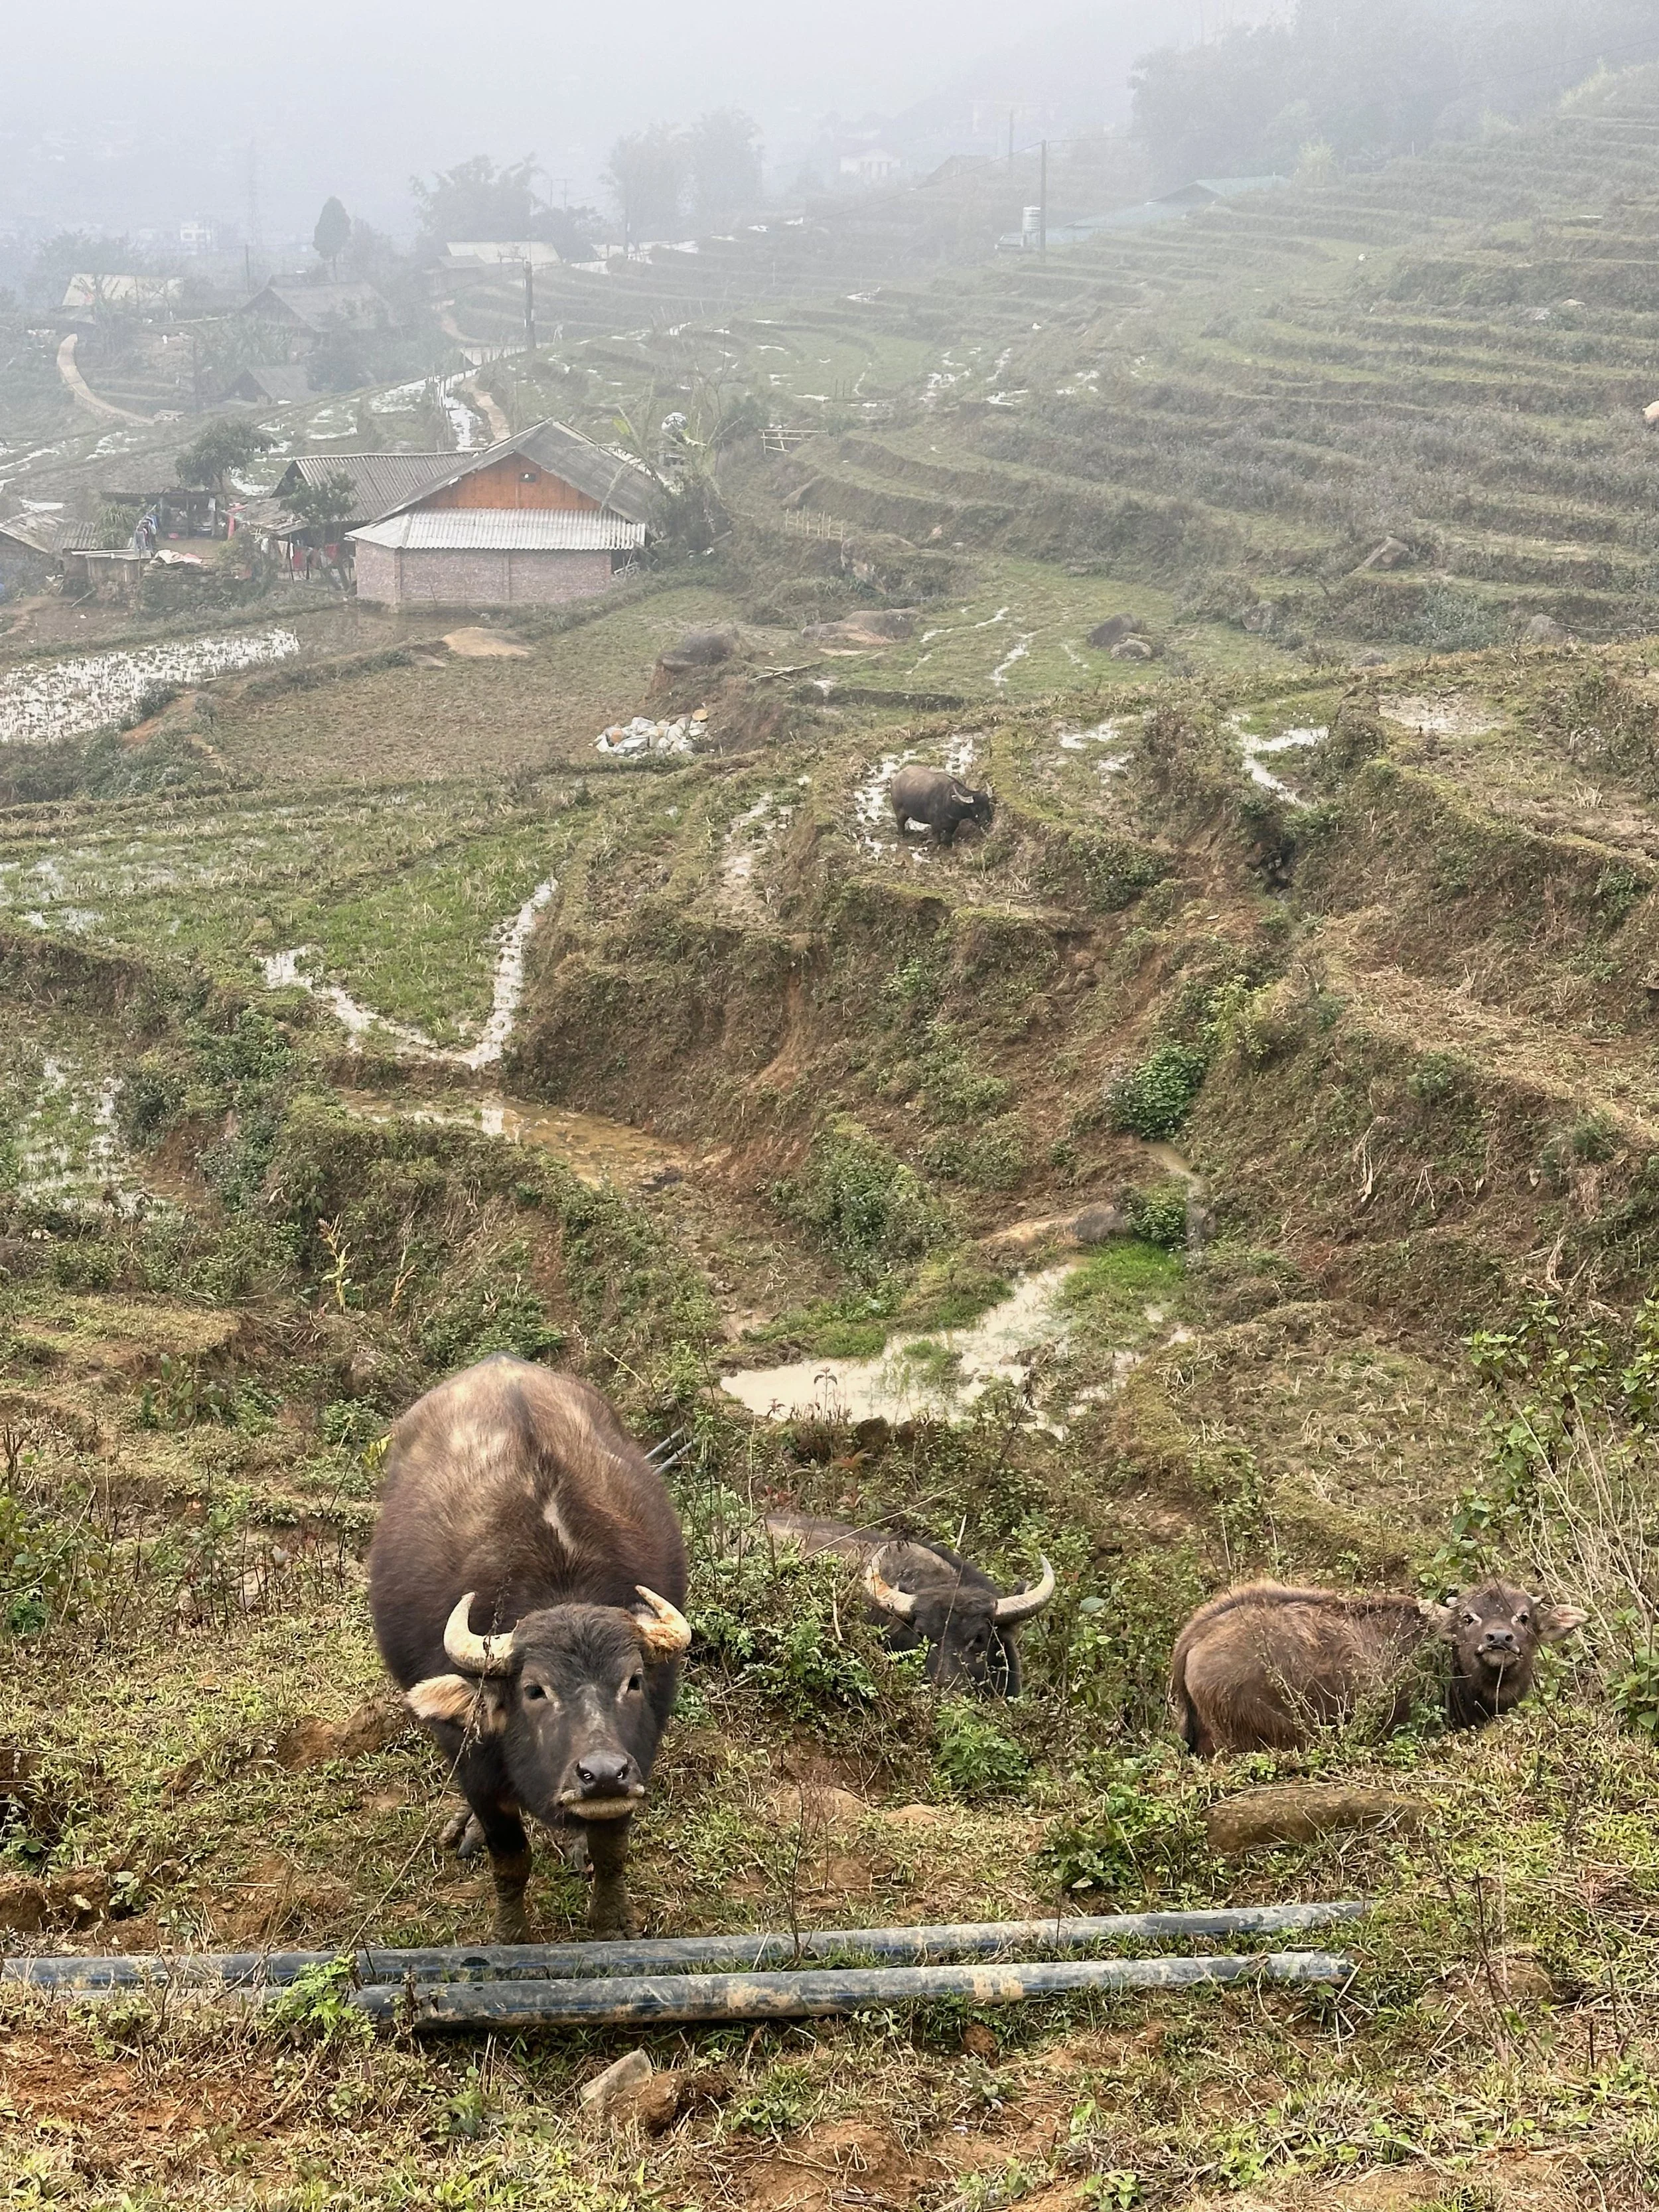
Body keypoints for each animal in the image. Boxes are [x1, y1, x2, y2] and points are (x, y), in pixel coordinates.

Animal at [367, 1355, 691, 1940]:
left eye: (633, 1680)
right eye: (534, 1689)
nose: (601, 1773)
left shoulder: (638, 1758)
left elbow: (613, 1850)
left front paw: (610, 1920)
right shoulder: (474, 1763)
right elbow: (512, 1859)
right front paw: (510, 1932)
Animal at [891, 764, 995, 847]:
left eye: (988, 805)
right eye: (976, 808)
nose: (988, 822)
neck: (948, 802)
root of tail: (896, 779)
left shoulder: (953, 826)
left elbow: (947, 839)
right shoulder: (935, 826)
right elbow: (937, 841)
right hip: (899, 812)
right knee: (900, 824)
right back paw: (902, 835)